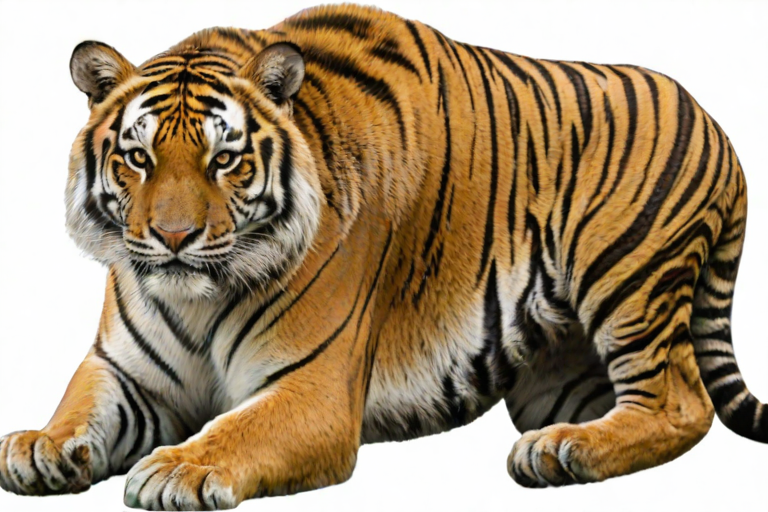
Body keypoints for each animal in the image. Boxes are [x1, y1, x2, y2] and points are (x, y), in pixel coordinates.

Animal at [0, 3, 764, 510]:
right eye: (139, 158)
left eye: (225, 160)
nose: (174, 237)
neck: (197, 296)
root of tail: (716, 123)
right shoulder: (125, 370)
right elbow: (79, 403)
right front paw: (39, 444)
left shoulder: (312, 389)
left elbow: (236, 428)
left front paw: (177, 469)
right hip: (553, 378)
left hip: (625, 278)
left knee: (680, 402)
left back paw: (561, 453)